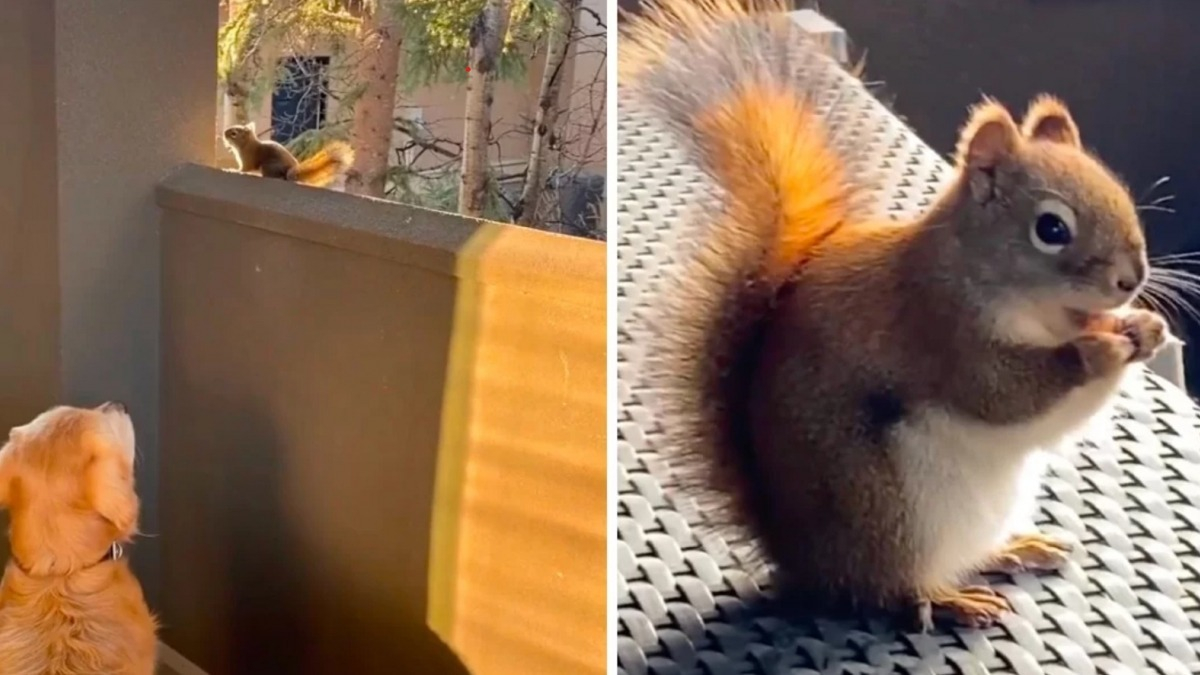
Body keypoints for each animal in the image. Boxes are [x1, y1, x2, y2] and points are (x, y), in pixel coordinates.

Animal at [222, 122, 354, 187]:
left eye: (234, 133)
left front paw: (233, 170)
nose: (223, 133)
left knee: (279, 178)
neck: (247, 144)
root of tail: (292, 174)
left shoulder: (248, 159)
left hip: (269, 166)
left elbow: (244, 169)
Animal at [622, 0, 1169, 630]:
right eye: (1051, 228)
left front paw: (1146, 329)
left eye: (1120, 194)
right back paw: (947, 599)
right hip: (889, 510)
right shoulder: (939, 332)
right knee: (887, 590)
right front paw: (1098, 350)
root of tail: (803, 563)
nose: (1133, 280)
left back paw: (1011, 549)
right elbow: (1005, 394)